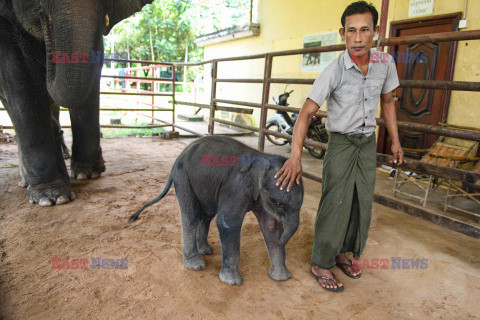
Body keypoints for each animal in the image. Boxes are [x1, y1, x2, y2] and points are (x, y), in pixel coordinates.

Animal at [0, 1, 152, 206]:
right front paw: (52, 198)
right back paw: (27, 183)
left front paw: (87, 174)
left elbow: (93, 68)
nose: (43, 16)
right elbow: (20, 80)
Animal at [130, 136, 304, 284]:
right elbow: (227, 224)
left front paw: (281, 278)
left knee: (206, 215)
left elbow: (270, 227)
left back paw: (205, 251)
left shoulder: (259, 197)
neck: (263, 157)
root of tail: (177, 160)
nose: (283, 242)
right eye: (279, 203)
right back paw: (196, 265)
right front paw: (232, 282)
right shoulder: (236, 188)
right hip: (183, 178)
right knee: (192, 217)